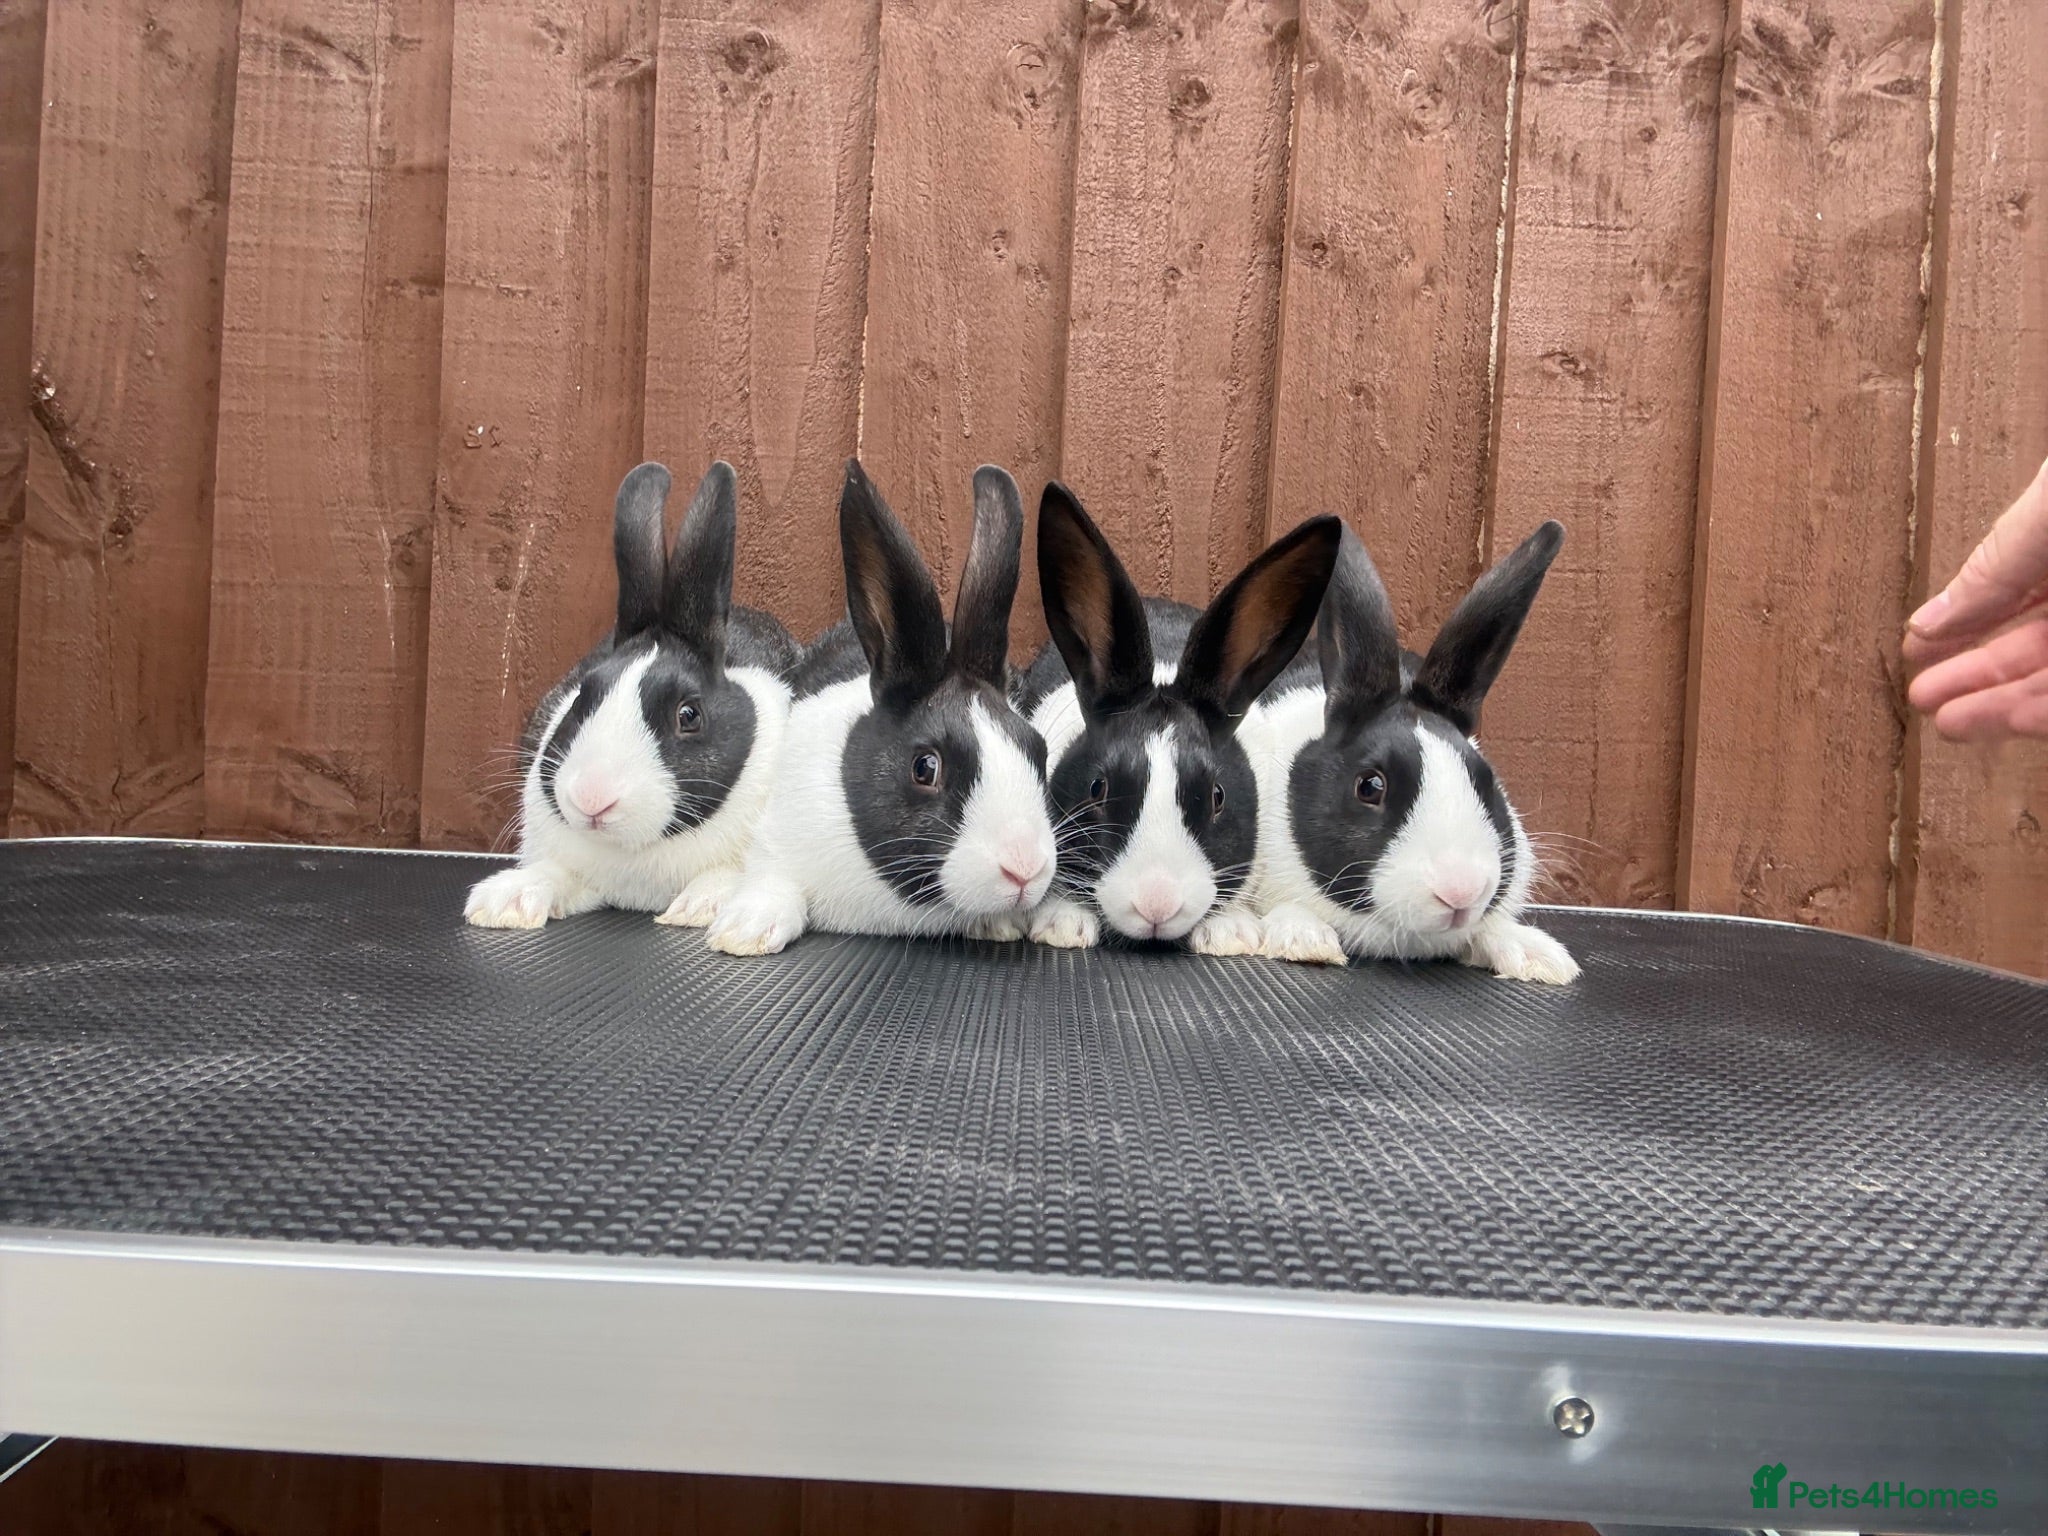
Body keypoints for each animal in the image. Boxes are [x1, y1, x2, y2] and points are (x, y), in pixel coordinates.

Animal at [464, 460, 800, 929]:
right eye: (582, 697)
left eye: (689, 715)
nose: (591, 798)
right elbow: (555, 872)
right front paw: (504, 902)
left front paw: (700, 907)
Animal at [702, 459, 1058, 956]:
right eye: (925, 767)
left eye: (1038, 752)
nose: (1024, 868)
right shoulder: (777, 838)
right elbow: (772, 880)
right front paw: (745, 931)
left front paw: (999, 925)